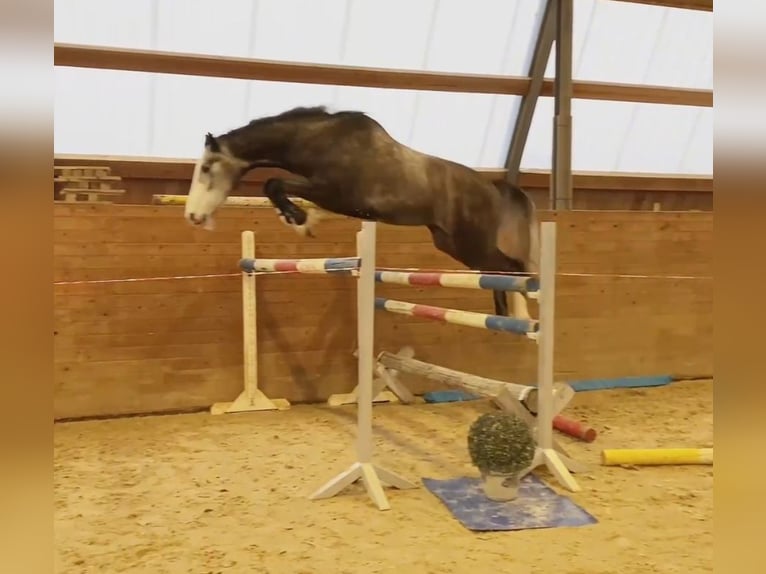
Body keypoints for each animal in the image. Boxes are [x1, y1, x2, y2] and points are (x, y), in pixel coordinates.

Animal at [183, 106, 544, 318]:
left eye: (206, 168)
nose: (192, 217)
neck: (321, 140)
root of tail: (494, 188)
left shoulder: (334, 192)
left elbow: (273, 183)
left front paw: (298, 219)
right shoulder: (333, 198)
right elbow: (281, 190)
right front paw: (302, 220)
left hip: (471, 242)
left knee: (511, 268)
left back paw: (524, 310)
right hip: (452, 244)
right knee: (498, 272)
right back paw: (507, 314)